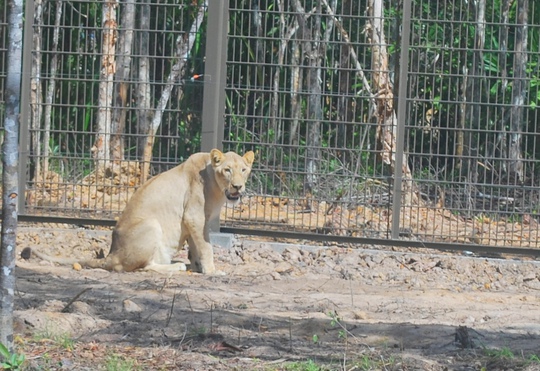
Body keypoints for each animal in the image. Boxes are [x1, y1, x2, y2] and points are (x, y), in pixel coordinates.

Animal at [31, 150, 255, 274]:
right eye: (227, 170)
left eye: (243, 170)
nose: (238, 187)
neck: (217, 188)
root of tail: (112, 254)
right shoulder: (195, 217)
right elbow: (206, 247)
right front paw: (212, 271)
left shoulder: (193, 222)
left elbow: (195, 247)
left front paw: (198, 267)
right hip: (151, 225)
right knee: (139, 266)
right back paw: (175, 266)